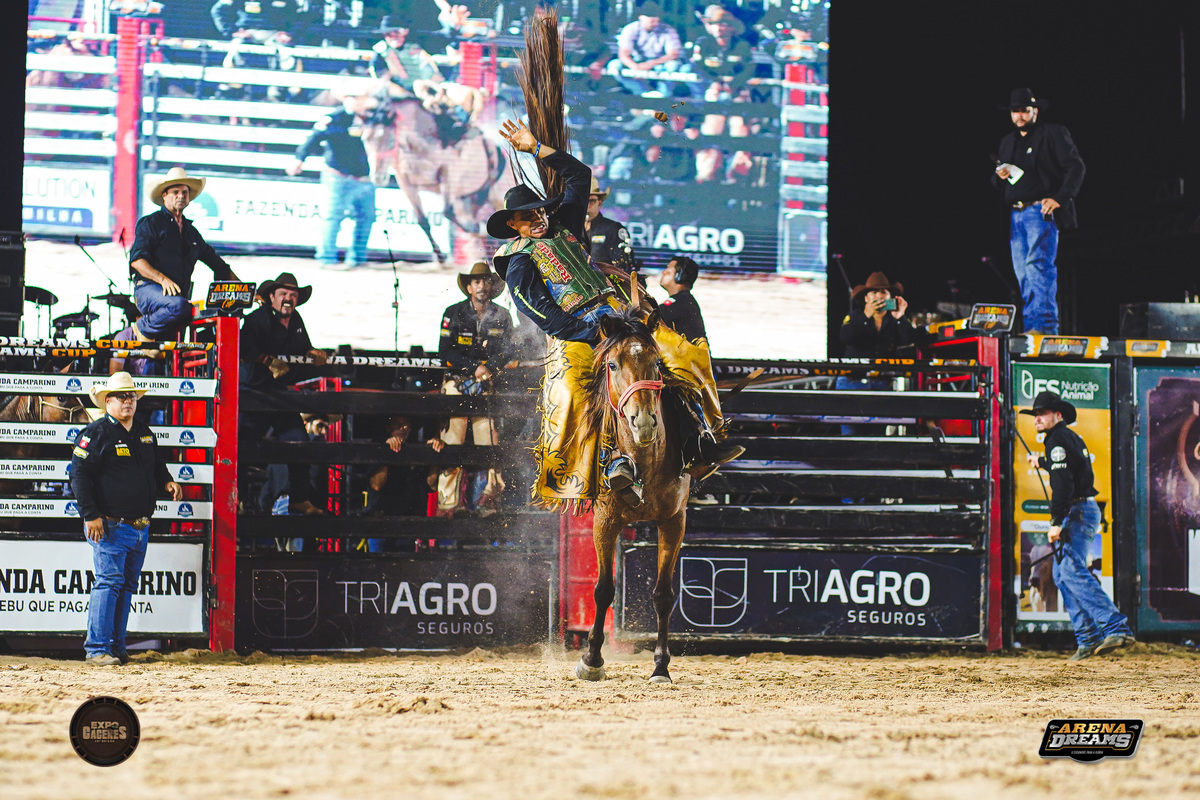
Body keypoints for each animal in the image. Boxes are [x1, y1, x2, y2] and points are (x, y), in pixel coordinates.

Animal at [361, 98, 513, 261]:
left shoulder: (449, 174)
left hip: (497, 196)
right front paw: (440, 258)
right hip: (473, 197)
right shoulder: (405, 182)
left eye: (388, 138)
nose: (377, 176)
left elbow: (447, 211)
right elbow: (423, 220)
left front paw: (479, 229)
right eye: (365, 139)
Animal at [574, 308, 691, 684]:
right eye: (612, 364)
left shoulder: (674, 521)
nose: (644, 423)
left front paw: (660, 666)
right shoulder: (605, 521)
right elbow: (603, 589)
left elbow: (664, 595)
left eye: (657, 362)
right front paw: (591, 659)